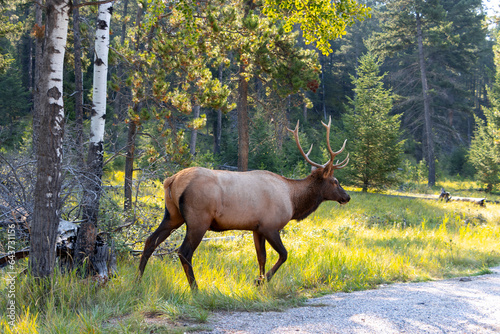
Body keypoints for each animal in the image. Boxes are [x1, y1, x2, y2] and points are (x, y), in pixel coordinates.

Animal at [139, 117, 350, 290]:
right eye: (335, 181)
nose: (347, 197)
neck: (293, 201)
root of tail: (171, 180)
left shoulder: (257, 228)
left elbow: (261, 257)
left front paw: (259, 280)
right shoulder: (270, 225)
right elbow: (283, 254)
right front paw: (261, 281)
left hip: (173, 215)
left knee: (150, 241)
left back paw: (137, 281)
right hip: (198, 219)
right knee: (184, 252)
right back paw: (195, 289)